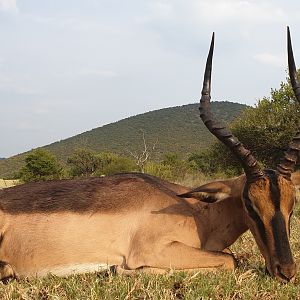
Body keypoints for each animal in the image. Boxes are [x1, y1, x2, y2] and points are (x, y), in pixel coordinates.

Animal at [0, 28, 298, 284]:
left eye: (292, 202)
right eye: (249, 204)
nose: (286, 271)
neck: (195, 211)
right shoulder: (155, 249)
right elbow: (230, 260)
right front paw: (116, 269)